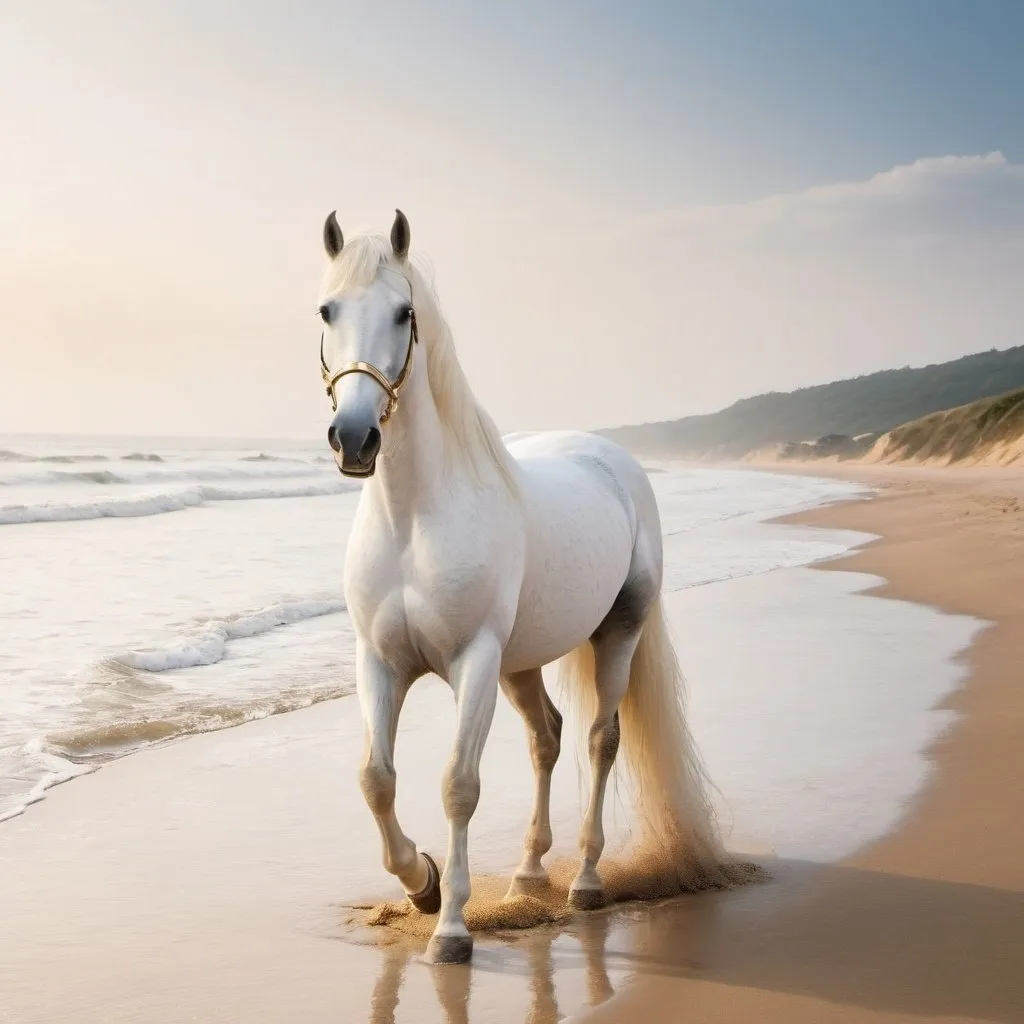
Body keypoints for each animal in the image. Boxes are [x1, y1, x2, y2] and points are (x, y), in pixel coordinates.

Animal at [315, 209, 741, 966]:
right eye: (326, 310)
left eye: (403, 313)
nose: (355, 438)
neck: (416, 518)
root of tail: (612, 459)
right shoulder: (381, 662)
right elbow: (376, 781)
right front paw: (422, 884)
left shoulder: (474, 661)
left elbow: (459, 784)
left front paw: (451, 929)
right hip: (521, 663)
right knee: (548, 737)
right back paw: (528, 872)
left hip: (616, 632)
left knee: (601, 739)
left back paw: (587, 881)